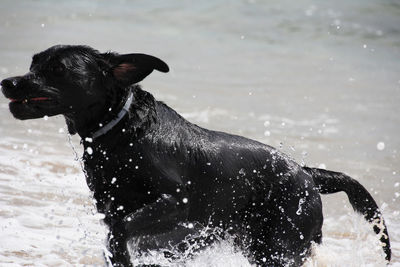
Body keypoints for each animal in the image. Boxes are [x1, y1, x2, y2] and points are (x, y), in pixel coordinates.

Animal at [0, 45, 390, 266]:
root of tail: (308, 173)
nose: (7, 82)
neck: (121, 131)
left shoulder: (177, 201)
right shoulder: (112, 204)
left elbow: (122, 229)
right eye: (33, 63)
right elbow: (117, 228)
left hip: (283, 243)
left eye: (57, 69)